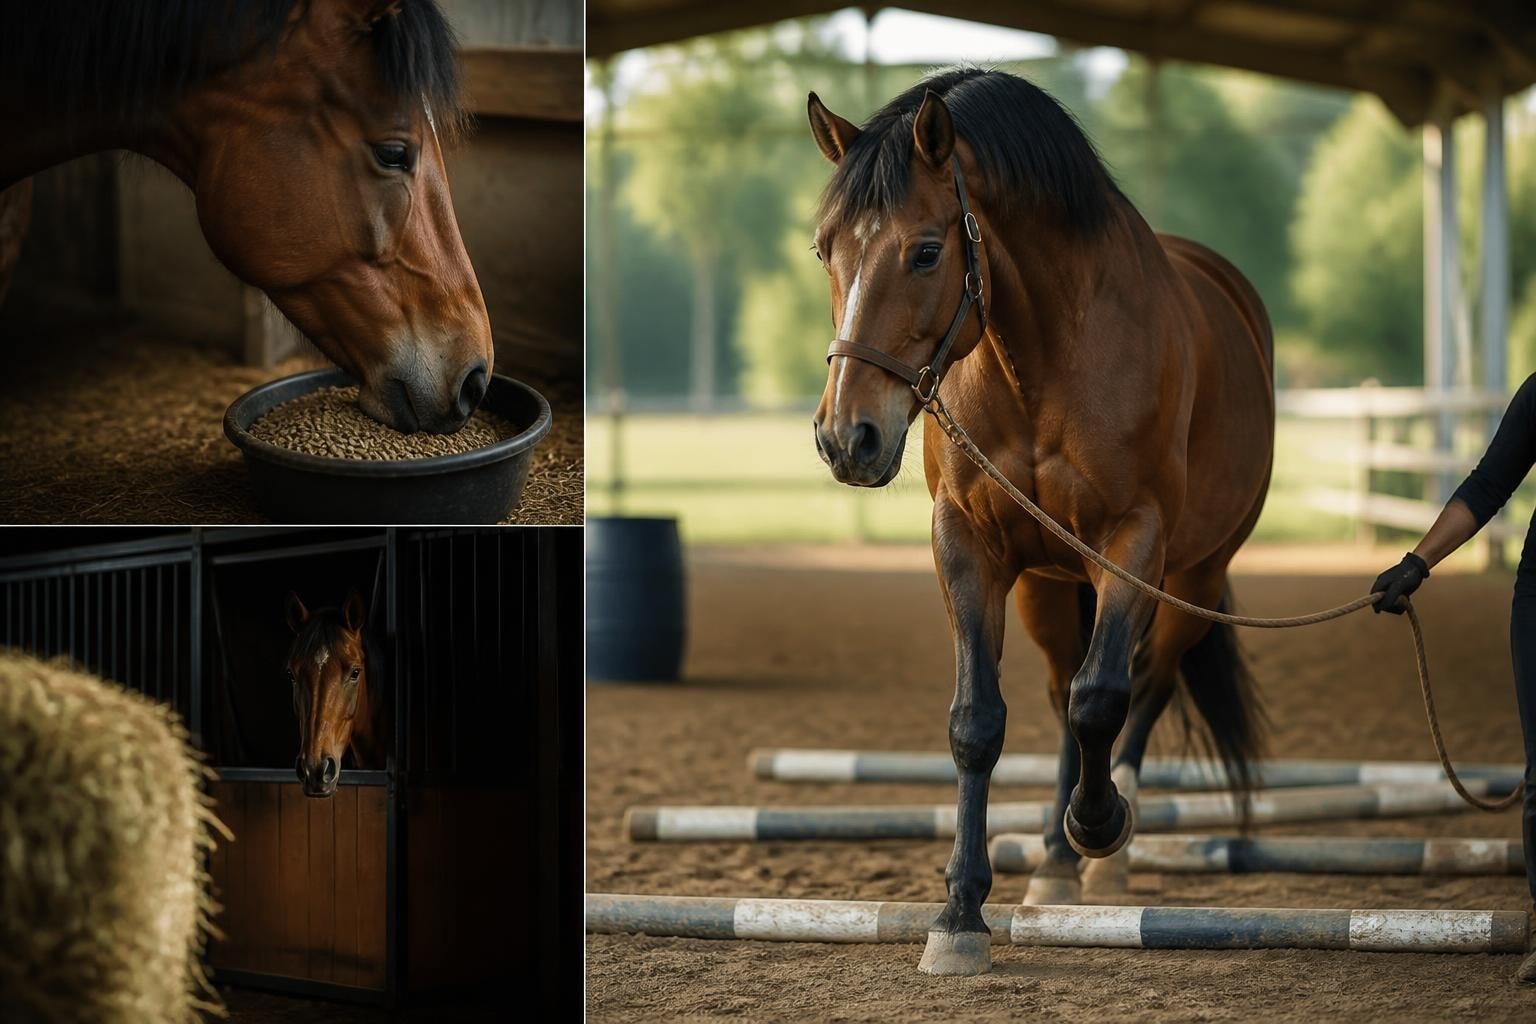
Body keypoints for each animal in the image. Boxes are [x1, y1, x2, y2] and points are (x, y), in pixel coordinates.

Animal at [808, 68, 1273, 976]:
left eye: (926, 250)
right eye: (824, 249)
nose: (849, 437)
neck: (1046, 361)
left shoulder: (1134, 543)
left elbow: (1104, 699)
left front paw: (1100, 822)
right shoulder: (968, 545)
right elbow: (978, 722)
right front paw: (960, 912)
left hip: (1189, 580)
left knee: (1140, 688)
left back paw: (1103, 847)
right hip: (1052, 589)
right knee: (1064, 691)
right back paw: (1056, 864)